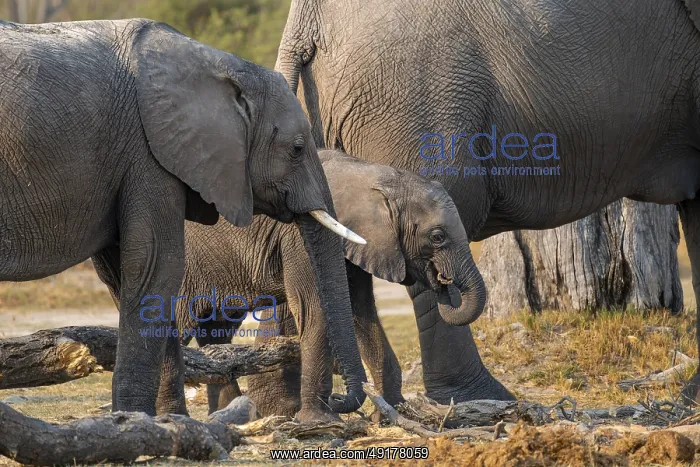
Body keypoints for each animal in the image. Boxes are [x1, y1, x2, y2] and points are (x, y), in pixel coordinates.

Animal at [0, 18, 367, 417]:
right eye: (297, 149)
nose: (340, 400)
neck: (217, 64)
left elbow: (129, 276)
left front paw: (167, 420)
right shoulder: (148, 153)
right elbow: (156, 266)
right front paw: (134, 419)